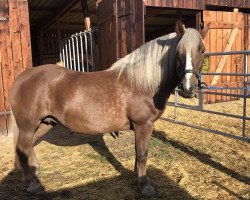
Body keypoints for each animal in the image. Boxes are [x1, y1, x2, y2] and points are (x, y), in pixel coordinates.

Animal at [9, 20, 209, 197]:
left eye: (202, 50)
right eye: (178, 52)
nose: (188, 89)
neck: (141, 83)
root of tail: (21, 78)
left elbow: (138, 154)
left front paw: (137, 176)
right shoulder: (143, 125)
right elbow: (142, 153)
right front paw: (145, 185)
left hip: (46, 123)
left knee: (27, 147)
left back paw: (33, 174)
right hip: (28, 126)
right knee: (22, 147)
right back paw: (33, 184)